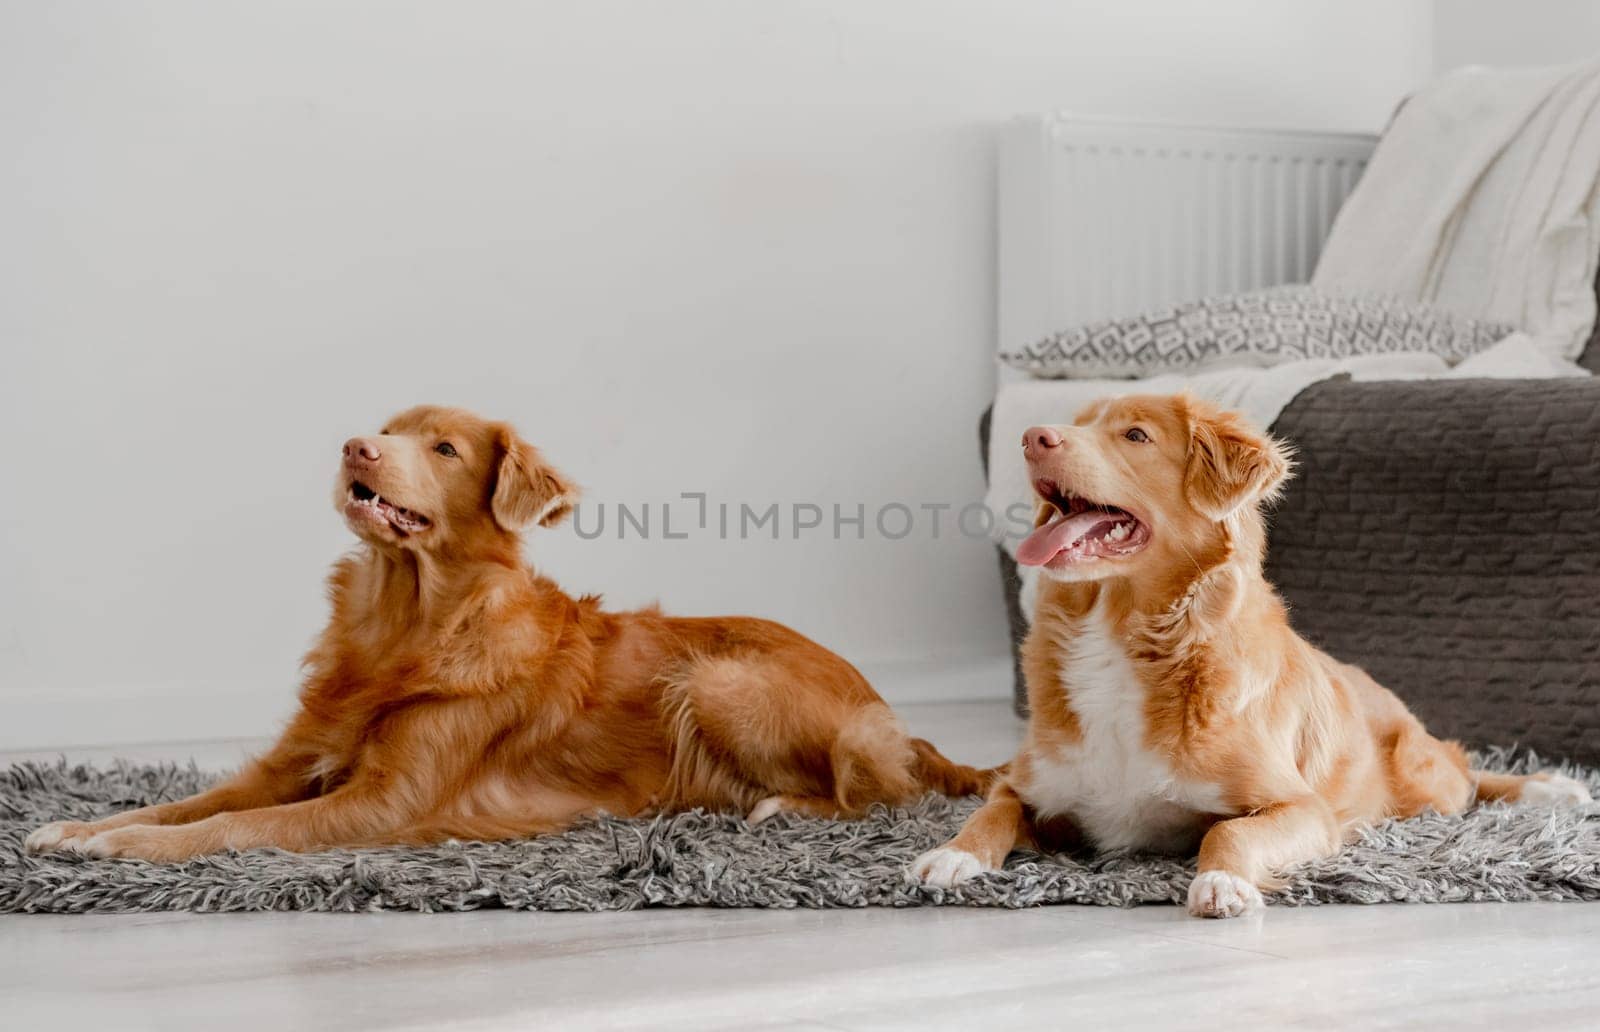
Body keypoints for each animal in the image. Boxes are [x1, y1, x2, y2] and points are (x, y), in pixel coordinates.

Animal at [31, 406, 985, 857]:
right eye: (388, 427)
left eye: (444, 449)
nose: (354, 446)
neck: (406, 619)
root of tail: (886, 703)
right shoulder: (291, 763)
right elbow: (197, 800)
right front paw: (78, 828)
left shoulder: (383, 805)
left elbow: (233, 828)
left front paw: (125, 845)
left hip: (716, 679)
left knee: (881, 791)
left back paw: (782, 806)